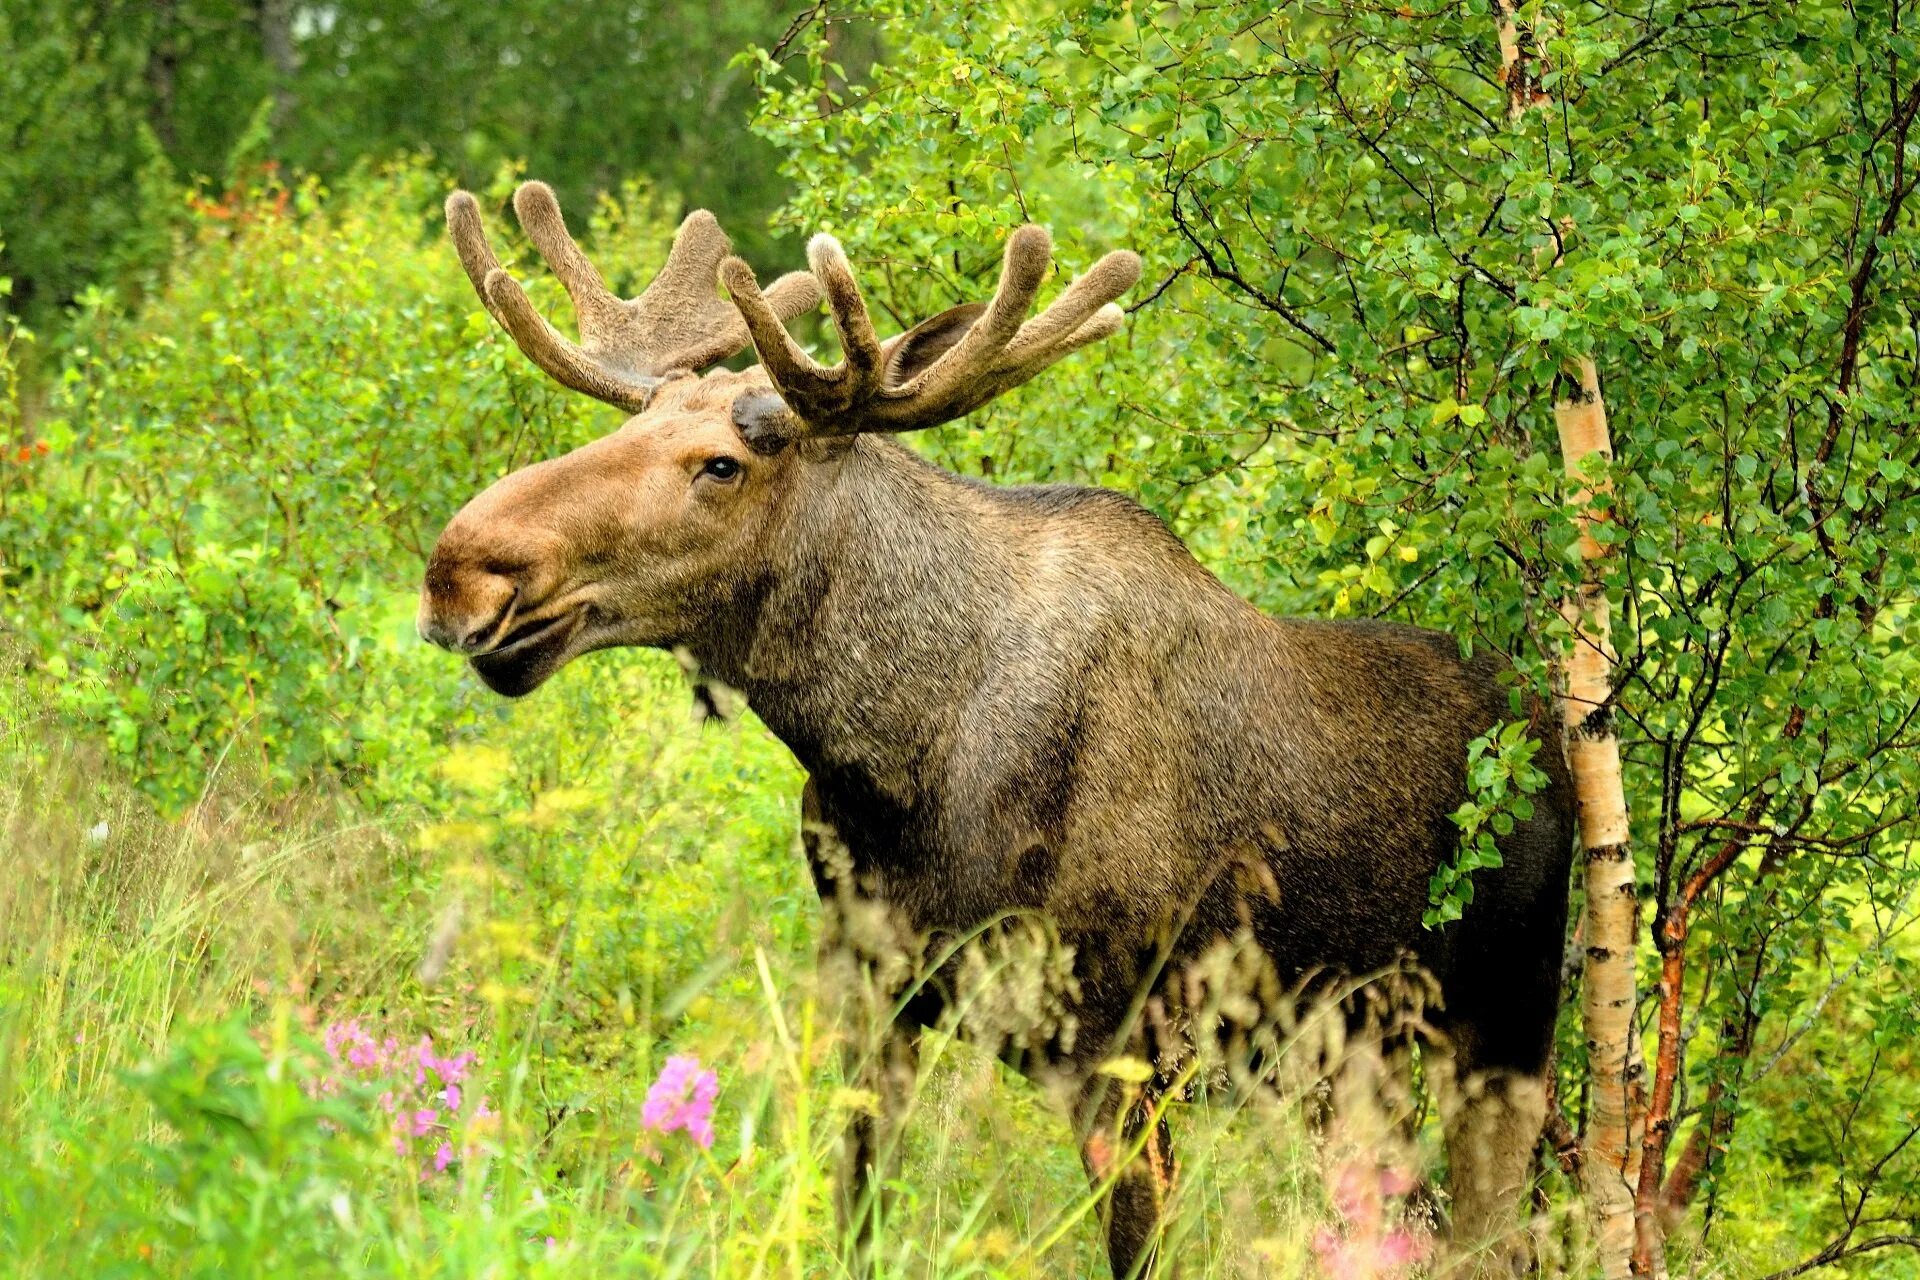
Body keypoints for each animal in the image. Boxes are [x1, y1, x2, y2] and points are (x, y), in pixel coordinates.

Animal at [418, 181, 1574, 1278]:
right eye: (623, 428)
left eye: (720, 465)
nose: (461, 566)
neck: (894, 761)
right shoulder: (874, 991)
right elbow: (859, 1217)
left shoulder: (1119, 1045)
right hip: (1345, 1059)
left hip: (1501, 1030)